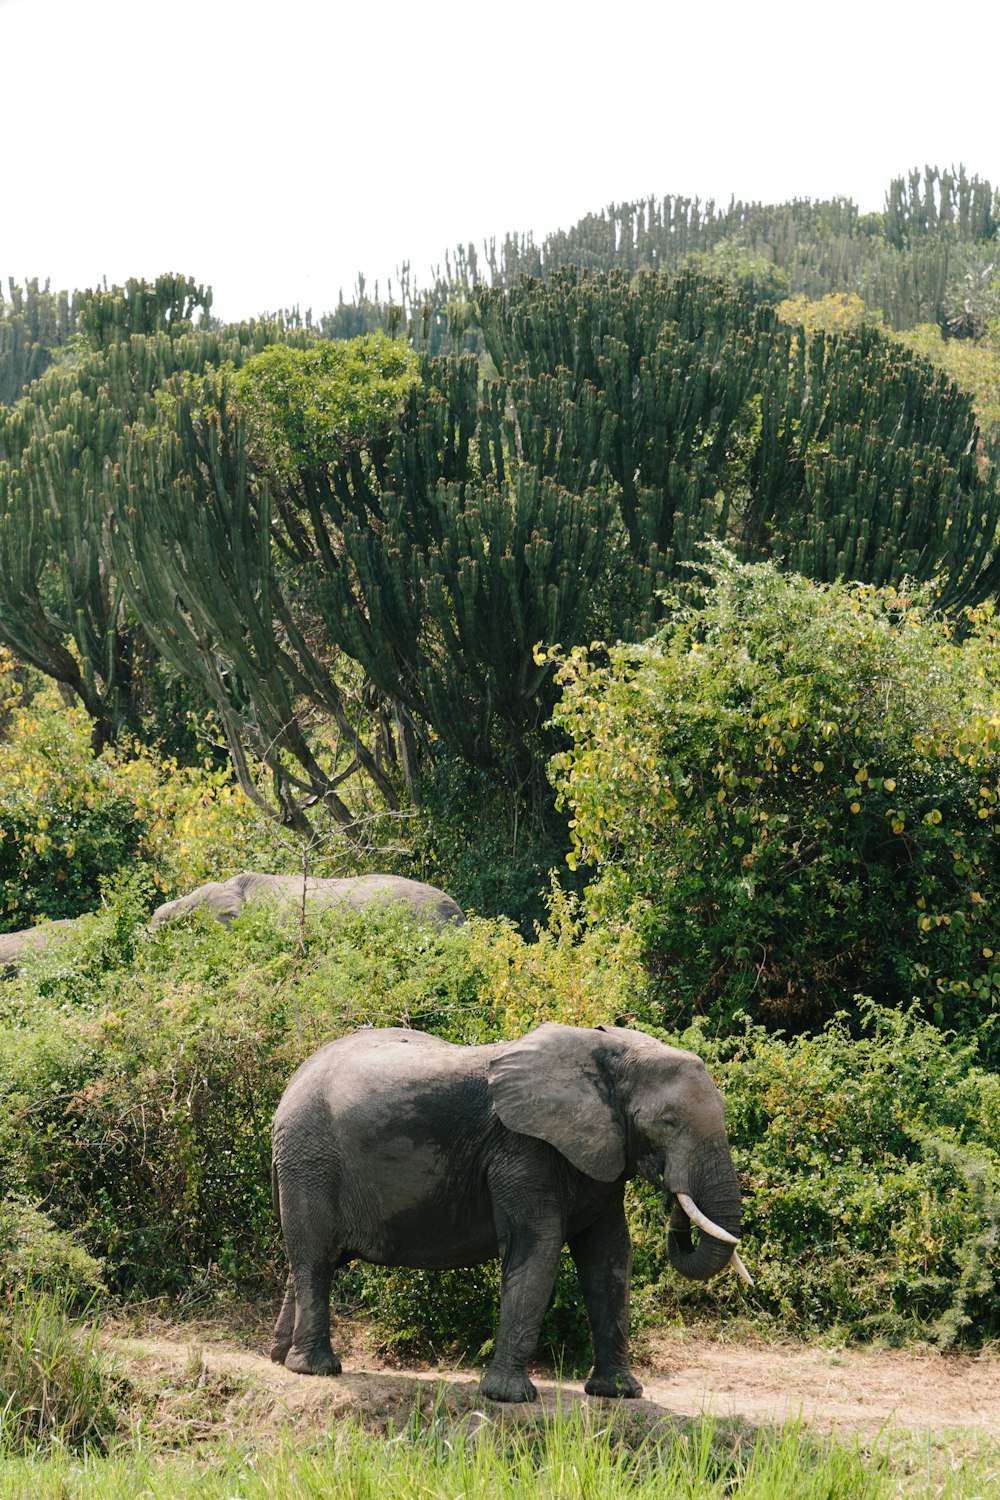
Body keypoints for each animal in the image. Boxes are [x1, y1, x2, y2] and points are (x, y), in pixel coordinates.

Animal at [269, 1020, 746, 1404]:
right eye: (667, 1122)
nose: (675, 1198)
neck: (604, 1051)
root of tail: (290, 1084)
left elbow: (609, 1256)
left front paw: (618, 1394)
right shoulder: (521, 1148)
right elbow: (538, 1246)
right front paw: (509, 1398)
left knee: (309, 1260)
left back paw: (278, 1358)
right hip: (310, 1160)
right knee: (315, 1259)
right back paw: (315, 1369)